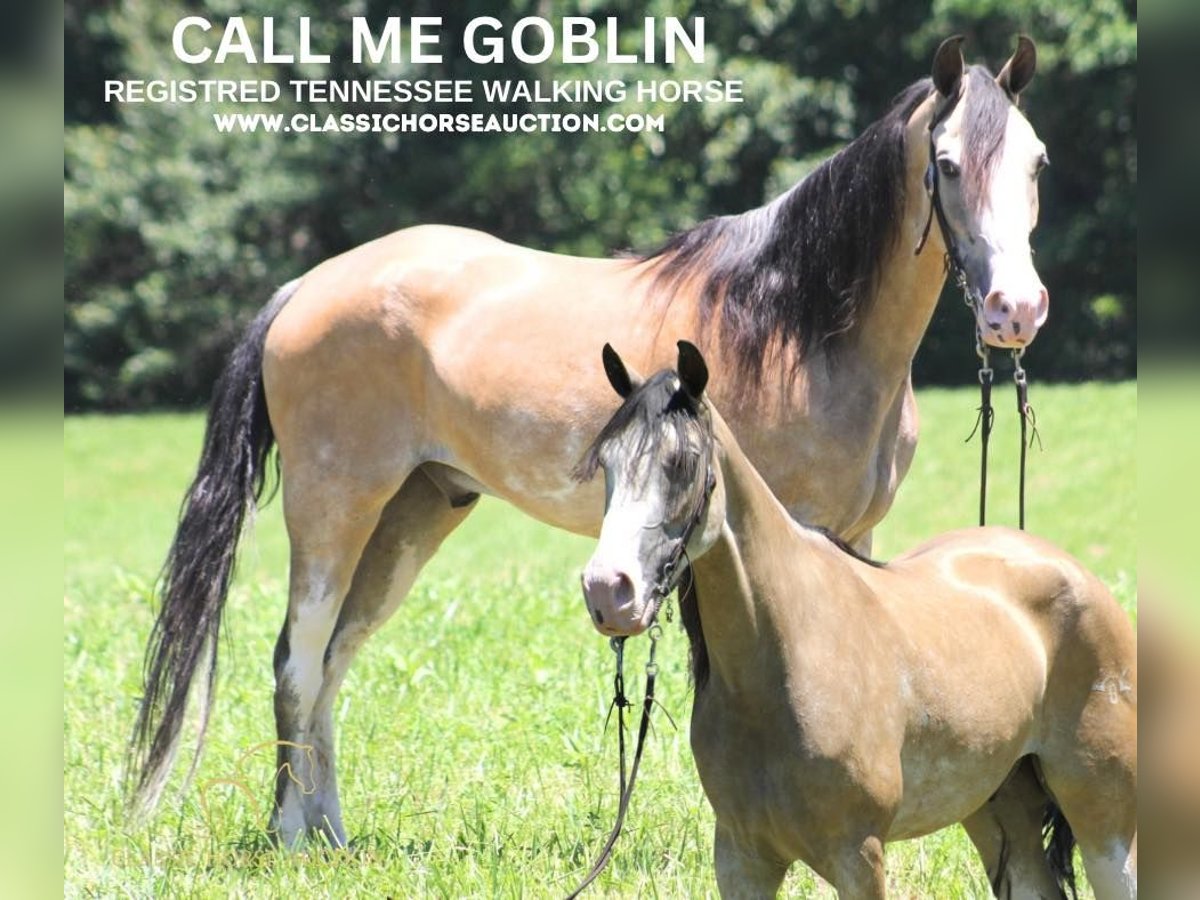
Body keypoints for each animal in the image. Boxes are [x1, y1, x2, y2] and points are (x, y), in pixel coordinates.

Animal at [131, 37, 1051, 854]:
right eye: (946, 163)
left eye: (1036, 162)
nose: (1015, 309)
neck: (794, 324)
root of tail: (304, 289)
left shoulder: (853, 538)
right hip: (334, 511)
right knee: (297, 658)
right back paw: (293, 836)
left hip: (414, 515)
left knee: (333, 660)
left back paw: (331, 836)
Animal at [576, 340, 1137, 897]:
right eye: (607, 463)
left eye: (684, 462)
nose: (607, 589)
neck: (784, 659)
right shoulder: (741, 857)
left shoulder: (858, 856)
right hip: (998, 809)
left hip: (1105, 825)